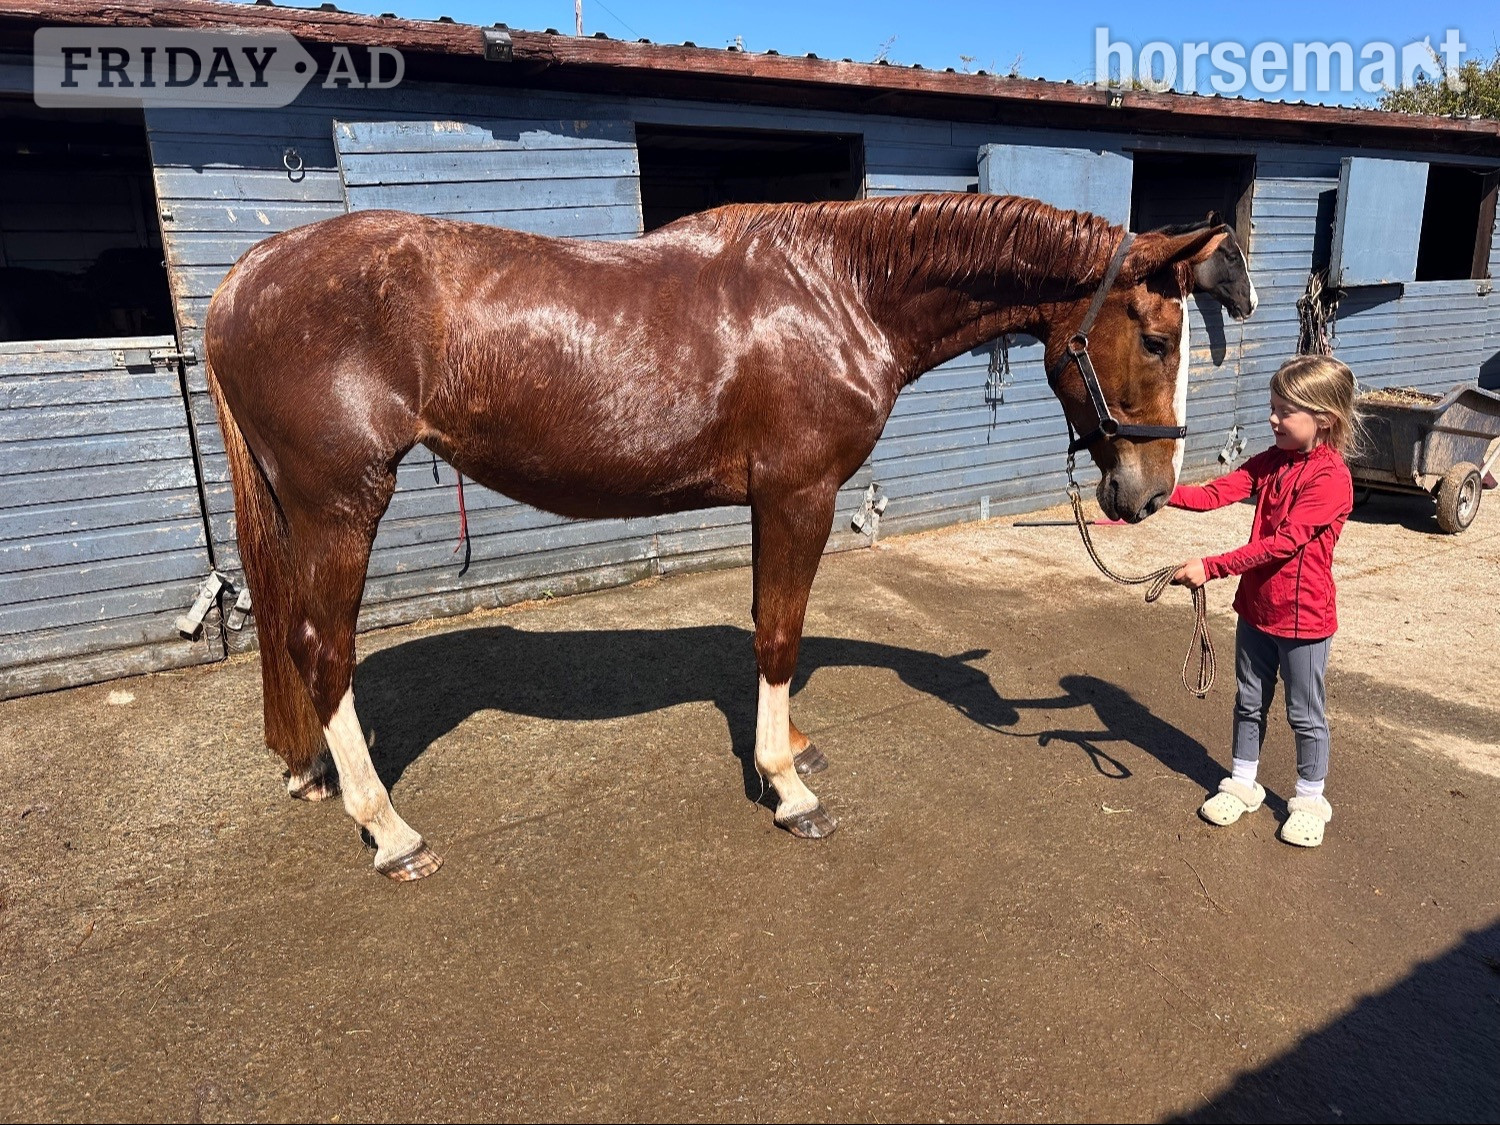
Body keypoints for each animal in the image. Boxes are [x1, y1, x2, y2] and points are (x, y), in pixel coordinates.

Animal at [203, 193, 1253, 880]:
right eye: (1157, 339)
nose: (1150, 493)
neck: (839, 293)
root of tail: (245, 278)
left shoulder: (772, 501)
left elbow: (764, 627)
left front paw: (789, 747)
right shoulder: (799, 494)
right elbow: (782, 632)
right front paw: (789, 790)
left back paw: (316, 776)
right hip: (342, 505)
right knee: (323, 647)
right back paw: (389, 829)